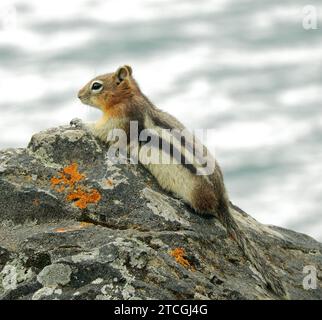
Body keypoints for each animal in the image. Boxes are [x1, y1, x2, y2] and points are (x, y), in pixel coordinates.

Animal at [78, 65, 284, 298]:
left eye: (96, 85)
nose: (78, 95)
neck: (129, 98)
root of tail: (222, 198)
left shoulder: (118, 121)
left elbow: (99, 131)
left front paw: (78, 121)